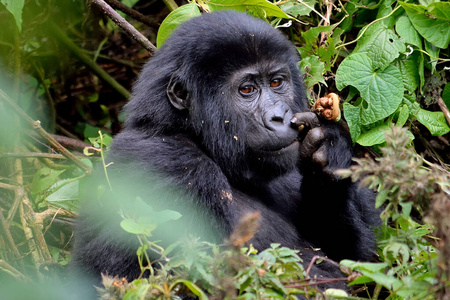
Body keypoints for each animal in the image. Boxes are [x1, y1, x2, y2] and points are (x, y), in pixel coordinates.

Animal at [71, 11, 380, 292]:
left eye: (276, 82)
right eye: (247, 89)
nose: (279, 116)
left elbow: (361, 264)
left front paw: (328, 156)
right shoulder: (168, 162)